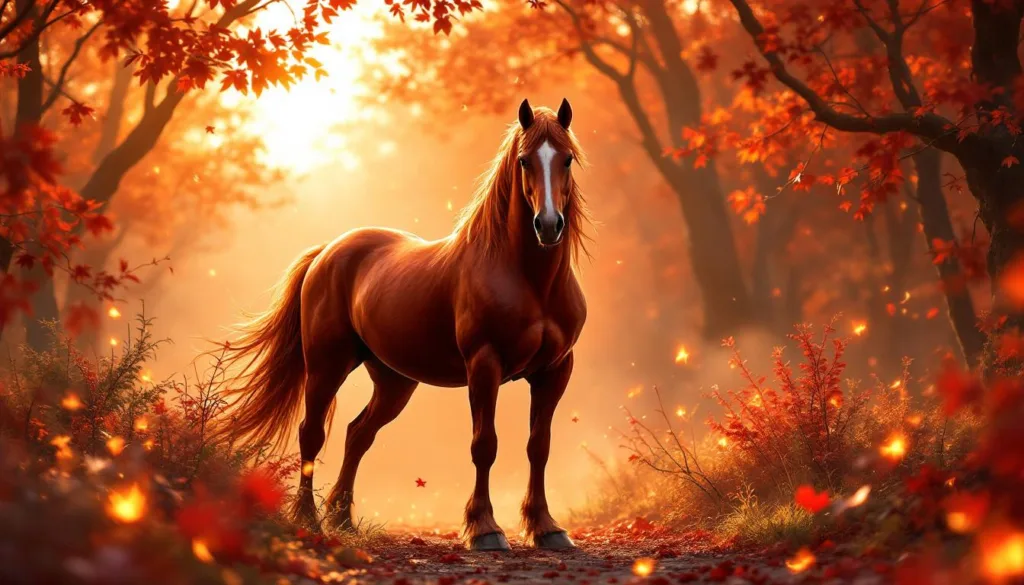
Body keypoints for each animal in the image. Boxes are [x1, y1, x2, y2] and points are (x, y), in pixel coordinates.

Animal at [215, 98, 590, 551]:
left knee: (358, 434)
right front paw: (485, 529)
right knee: (312, 433)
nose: (548, 226)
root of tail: (328, 251)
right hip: (326, 366)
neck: (529, 280)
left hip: (394, 381)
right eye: (524, 160)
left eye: (567, 158)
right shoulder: (485, 365)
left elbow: (539, 446)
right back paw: (310, 520)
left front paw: (546, 527)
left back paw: (342, 518)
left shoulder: (556, 370)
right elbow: (485, 445)